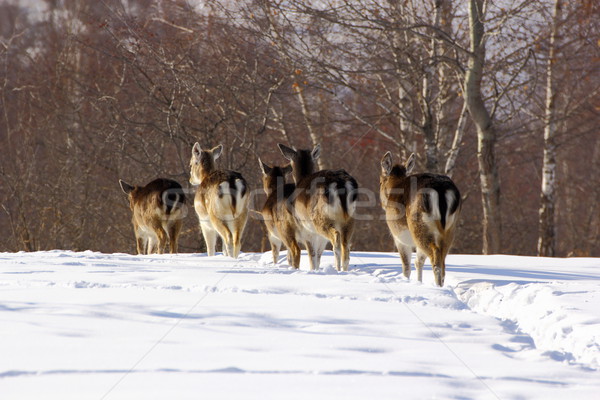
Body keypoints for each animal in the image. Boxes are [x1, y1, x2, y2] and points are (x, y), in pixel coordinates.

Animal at [278, 144, 358, 272]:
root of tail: (340, 183)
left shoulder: (307, 230)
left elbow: (312, 255)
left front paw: (312, 270)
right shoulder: (318, 236)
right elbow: (318, 255)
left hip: (320, 218)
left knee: (336, 238)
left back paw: (337, 269)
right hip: (350, 218)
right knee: (346, 245)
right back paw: (344, 270)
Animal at [382, 152, 462, 286]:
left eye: (380, 181)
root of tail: (441, 190)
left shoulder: (399, 237)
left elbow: (406, 266)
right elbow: (418, 262)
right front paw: (419, 282)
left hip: (419, 226)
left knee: (436, 259)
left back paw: (438, 286)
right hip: (450, 229)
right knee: (442, 260)